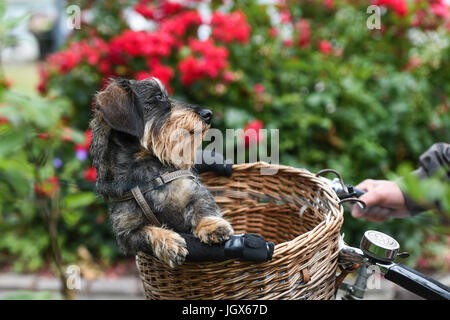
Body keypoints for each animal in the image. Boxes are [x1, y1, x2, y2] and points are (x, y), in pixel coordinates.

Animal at [89, 77, 234, 268]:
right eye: (158, 96)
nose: (208, 114)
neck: (142, 166)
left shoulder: (192, 189)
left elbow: (203, 206)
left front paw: (212, 227)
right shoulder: (126, 233)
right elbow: (146, 231)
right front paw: (170, 243)